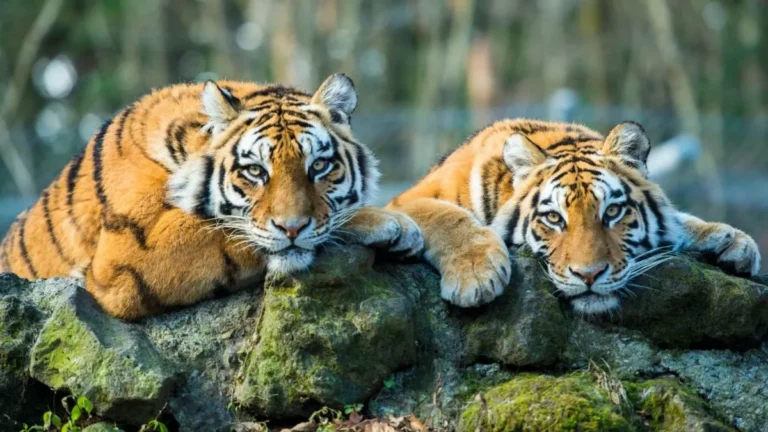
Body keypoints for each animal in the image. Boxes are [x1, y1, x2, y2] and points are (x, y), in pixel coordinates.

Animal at [0, 73, 423, 320]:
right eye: (256, 171)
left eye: (318, 166)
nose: (292, 229)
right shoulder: (126, 256)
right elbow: (227, 230)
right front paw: (388, 222)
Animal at [388, 119, 761, 314]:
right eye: (554, 219)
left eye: (612, 211)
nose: (589, 275)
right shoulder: (406, 201)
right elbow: (447, 216)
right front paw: (475, 275)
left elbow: (679, 220)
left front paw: (732, 240)